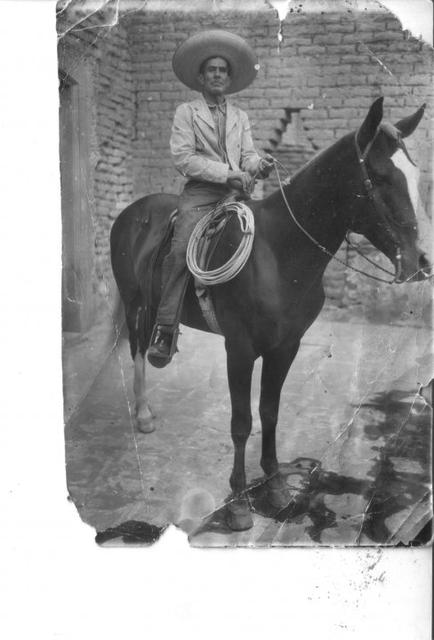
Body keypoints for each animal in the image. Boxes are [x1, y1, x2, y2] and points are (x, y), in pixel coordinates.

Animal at [111, 97, 430, 528]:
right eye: (380, 177)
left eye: (415, 174)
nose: (422, 260)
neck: (278, 253)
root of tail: (131, 211)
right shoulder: (239, 350)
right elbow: (241, 423)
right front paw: (239, 502)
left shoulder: (285, 347)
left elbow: (270, 413)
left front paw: (276, 486)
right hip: (134, 304)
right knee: (138, 350)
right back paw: (143, 413)